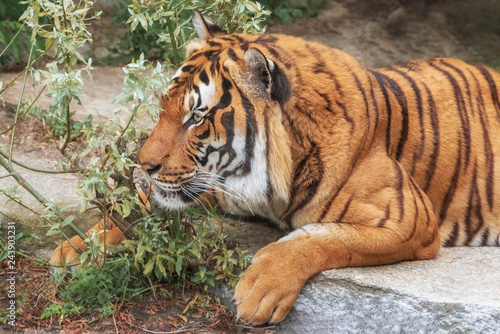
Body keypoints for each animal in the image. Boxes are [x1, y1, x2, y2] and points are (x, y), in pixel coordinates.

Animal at [51, 9, 500, 326]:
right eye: (165, 106)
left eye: (196, 117)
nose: (143, 164)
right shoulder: (214, 182)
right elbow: (141, 208)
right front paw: (77, 247)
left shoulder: (407, 219)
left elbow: (322, 237)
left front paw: (258, 290)